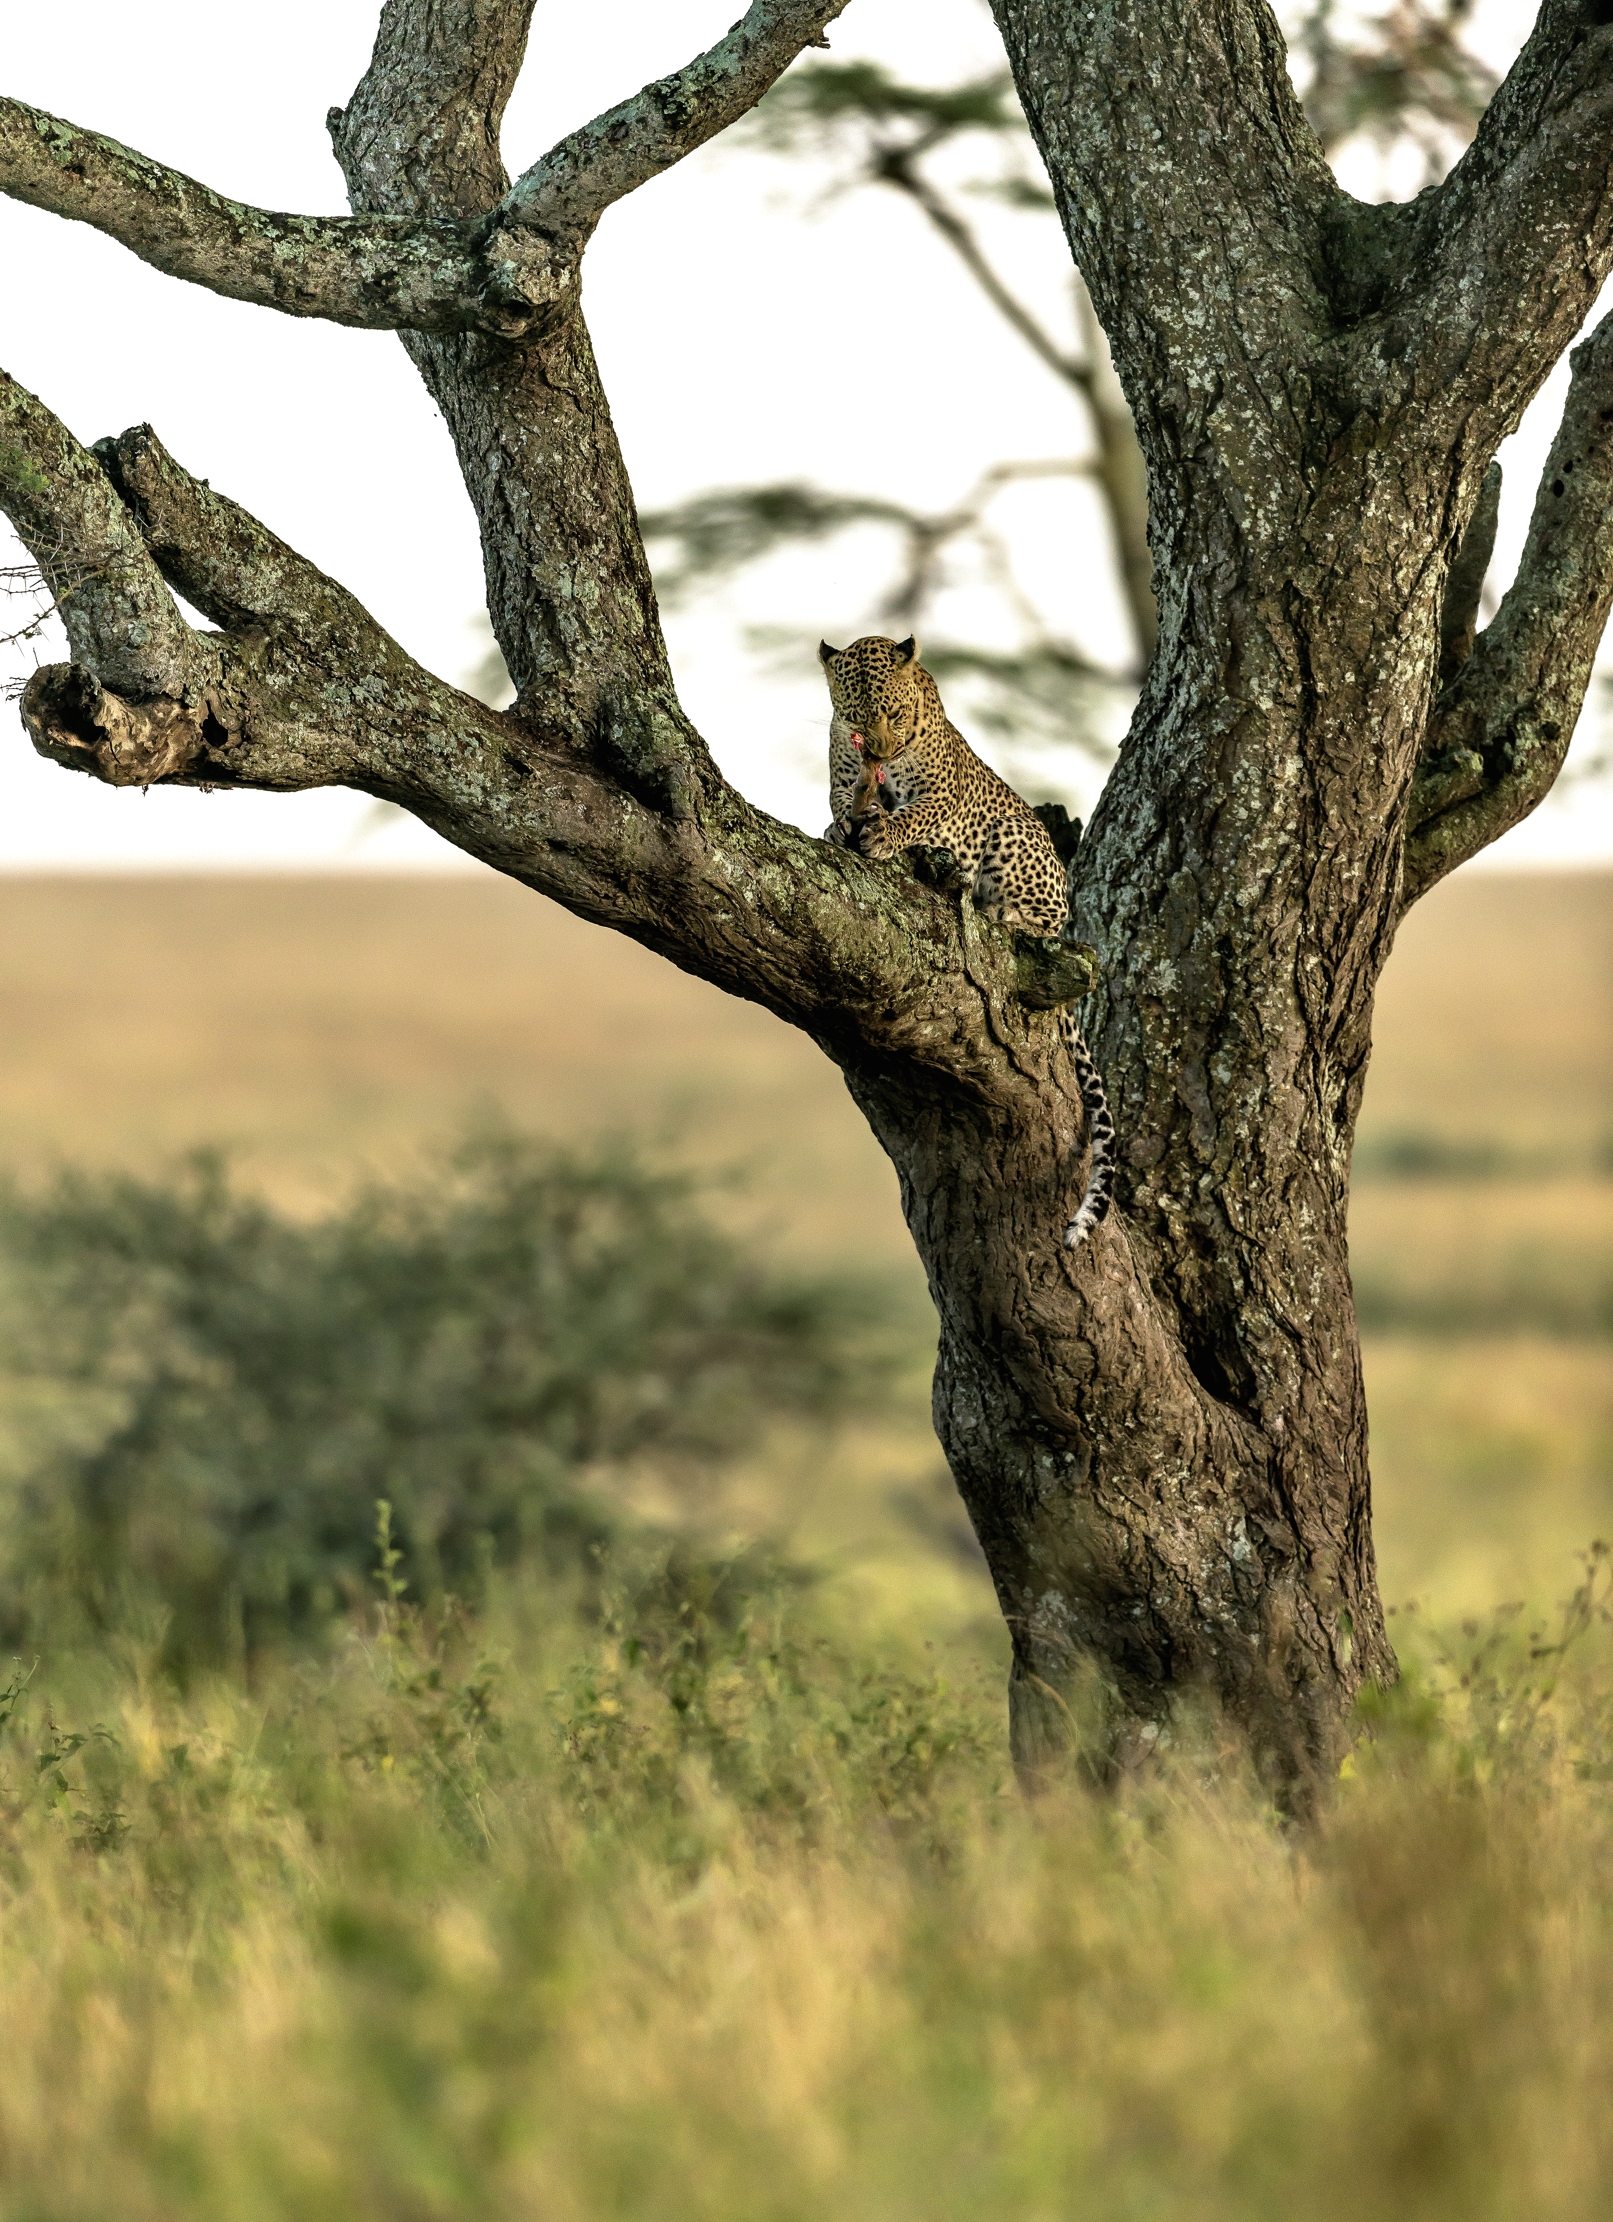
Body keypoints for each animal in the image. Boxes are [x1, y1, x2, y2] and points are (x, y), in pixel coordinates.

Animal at [819, 632, 1116, 1250]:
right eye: (856, 717)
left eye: (894, 714)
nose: (879, 755)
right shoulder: (840, 778)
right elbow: (840, 803)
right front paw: (842, 827)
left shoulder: (940, 795)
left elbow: (913, 816)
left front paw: (881, 834)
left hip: (1016, 836)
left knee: (1031, 918)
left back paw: (1005, 915)